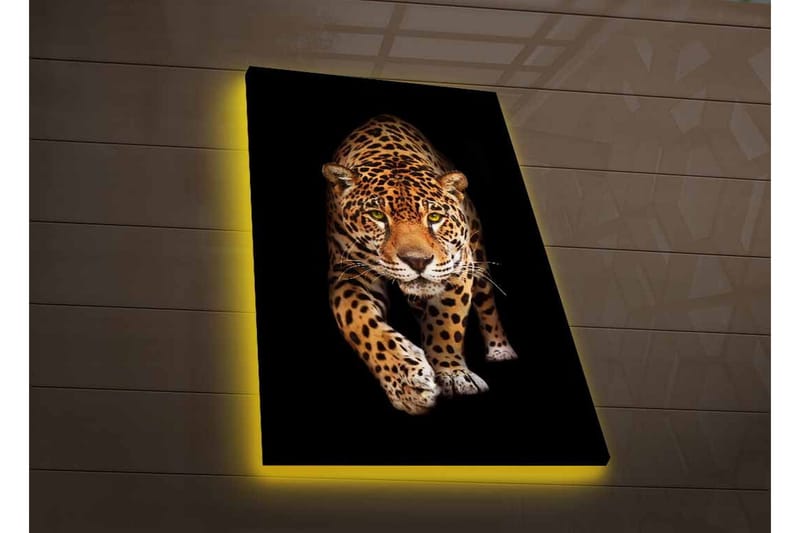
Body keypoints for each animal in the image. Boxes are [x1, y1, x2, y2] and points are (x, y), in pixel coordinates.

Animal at [323, 114, 517, 415]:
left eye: (435, 217)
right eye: (377, 215)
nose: (418, 261)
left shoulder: (457, 265)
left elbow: (446, 321)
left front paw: (452, 374)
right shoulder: (349, 273)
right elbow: (361, 323)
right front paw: (407, 383)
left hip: (479, 256)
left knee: (487, 303)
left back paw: (500, 350)